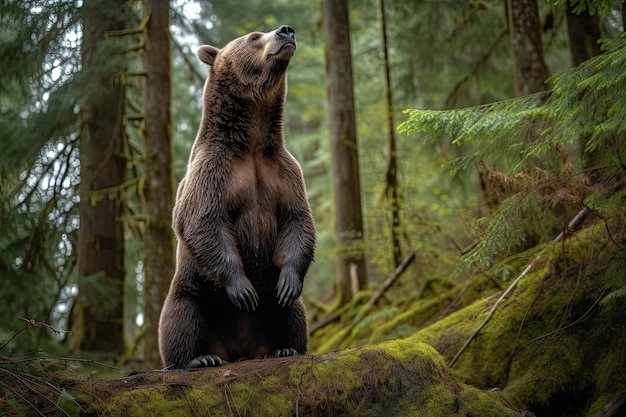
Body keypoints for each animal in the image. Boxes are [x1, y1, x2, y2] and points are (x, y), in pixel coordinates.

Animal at [155, 25, 312, 368]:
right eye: (253, 36)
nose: (286, 30)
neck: (251, 141)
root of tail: (241, 351)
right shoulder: (214, 170)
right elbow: (203, 221)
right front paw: (243, 289)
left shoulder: (283, 170)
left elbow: (298, 221)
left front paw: (288, 283)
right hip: (195, 290)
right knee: (181, 316)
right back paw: (199, 359)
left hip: (273, 313)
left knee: (294, 314)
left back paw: (286, 348)